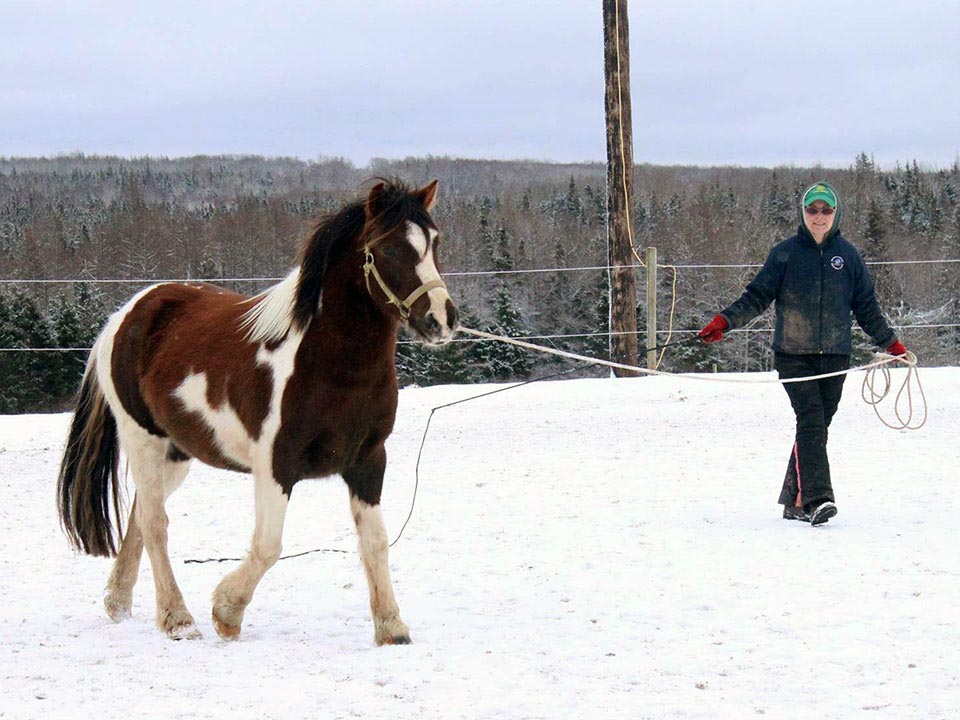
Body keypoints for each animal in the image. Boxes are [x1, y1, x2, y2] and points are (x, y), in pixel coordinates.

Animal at [57, 177, 462, 644]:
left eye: (435, 242)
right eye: (391, 248)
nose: (441, 320)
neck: (331, 368)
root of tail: (126, 315)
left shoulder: (368, 461)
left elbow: (375, 542)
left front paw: (392, 628)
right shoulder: (275, 464)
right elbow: (269, 546)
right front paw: (226, 612)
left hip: (176, 453)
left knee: (141, 513)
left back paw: (118, 602)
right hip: (142, 438)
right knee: (156, 522)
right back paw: (178, 619)